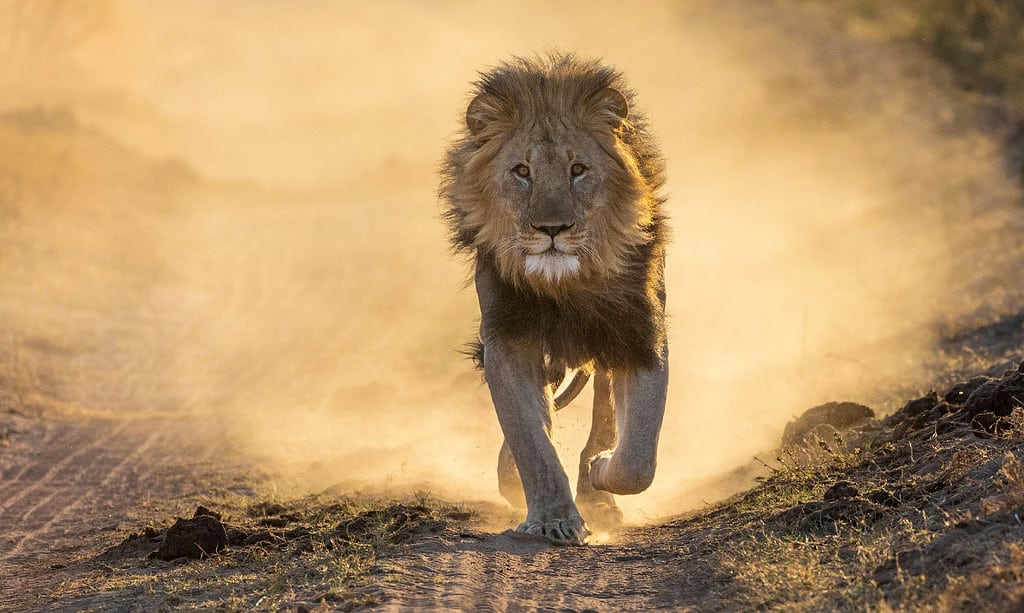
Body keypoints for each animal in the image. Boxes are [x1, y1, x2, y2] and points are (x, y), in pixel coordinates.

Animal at [442, 50, 671, 544]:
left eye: (578, 170)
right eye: (522, 172)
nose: (552, 229)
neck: (565, 286)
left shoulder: (640, 336)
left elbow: (638, 455)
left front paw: (601, 474)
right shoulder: (508, 341)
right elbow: (531, 439)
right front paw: (553, 517)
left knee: (604, 414)